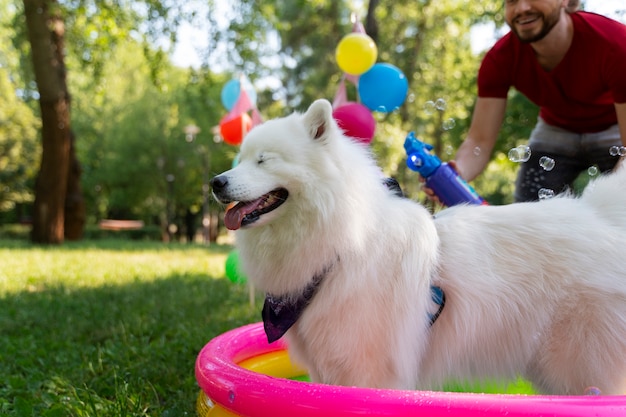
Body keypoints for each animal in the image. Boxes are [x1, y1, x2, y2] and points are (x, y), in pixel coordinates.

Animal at [210, 99, 624, 394]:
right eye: (240, 159)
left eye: (264, 161)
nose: (216, 182)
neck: (345, 242)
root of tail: (602, 217)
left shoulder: (365, 367)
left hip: (579, 363)